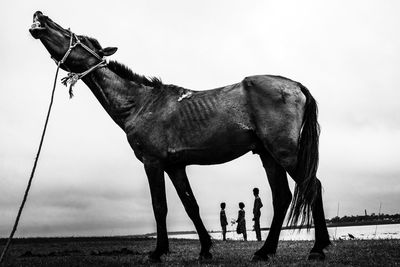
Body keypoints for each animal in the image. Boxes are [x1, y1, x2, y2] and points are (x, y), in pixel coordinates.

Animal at [28, 11, 332, 264]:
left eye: (77, 38)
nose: (40, 15)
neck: (139, 103)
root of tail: (295, 85)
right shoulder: (175, 166)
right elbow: (190, 205)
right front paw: (206, 249)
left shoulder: (152, 163)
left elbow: (159, 206)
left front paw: (158, 252)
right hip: (268, 155)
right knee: (281, 198)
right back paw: (265, 251)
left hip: (284, 153)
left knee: (311, 186)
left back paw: (317, 249)